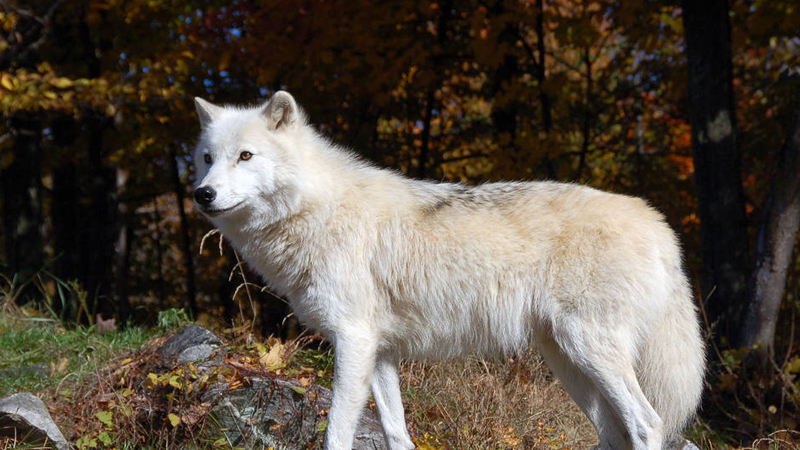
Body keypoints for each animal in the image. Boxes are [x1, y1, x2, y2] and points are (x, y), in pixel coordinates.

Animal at [194, 91, 708, 450]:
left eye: (245, 156)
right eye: (206, 158)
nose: (202, 194)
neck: (316, 209)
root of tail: (656, 222)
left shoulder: (353, 341)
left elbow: (336, 432)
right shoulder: (380, 352)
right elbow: (397, 434)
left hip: (591, 353)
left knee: (648, 424)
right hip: (570, 364)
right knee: (615, 433)